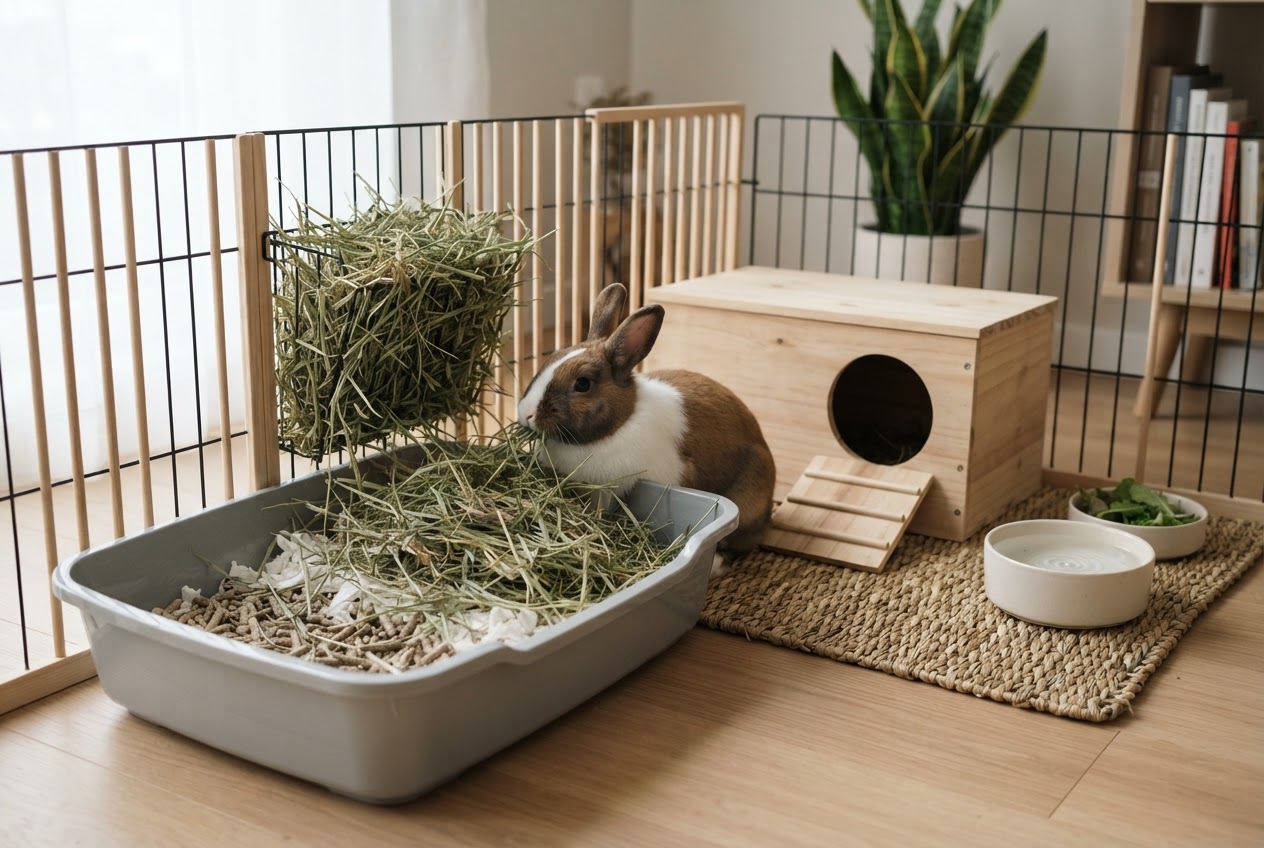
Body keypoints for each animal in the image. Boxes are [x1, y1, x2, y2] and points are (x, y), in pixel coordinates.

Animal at [517, 283, 776, 568]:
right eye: (551, 358)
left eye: (582, 384)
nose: (526, 413)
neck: (620, 423)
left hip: (749, 500)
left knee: (741, 542)